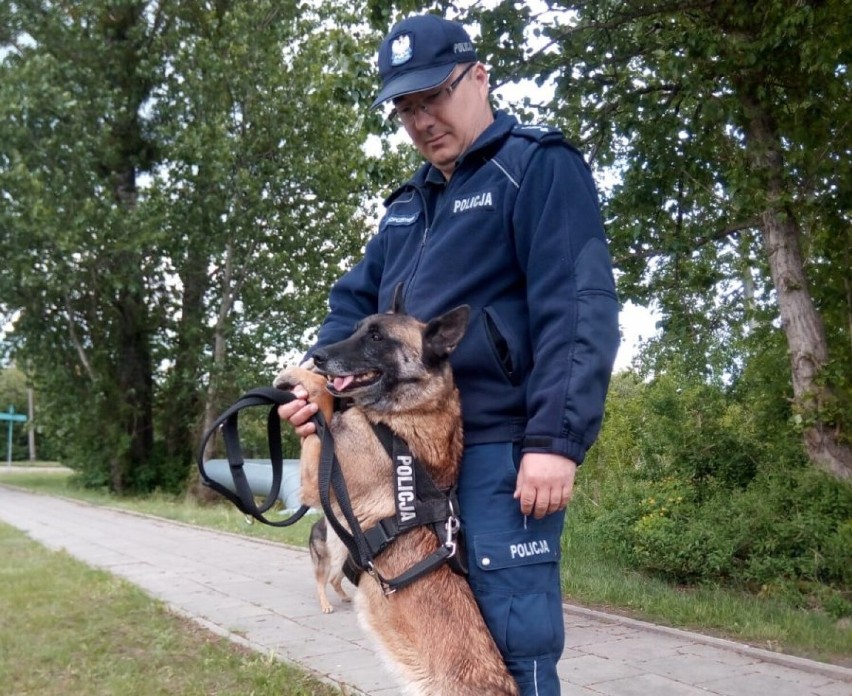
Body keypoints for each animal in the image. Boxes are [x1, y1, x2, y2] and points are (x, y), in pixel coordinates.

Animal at [278, 294, 520, 696]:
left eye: (376, 337)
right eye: (357, 329)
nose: (319, 356)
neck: (410, 409)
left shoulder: (317, 476)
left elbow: (323, 406)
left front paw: (301, 376)